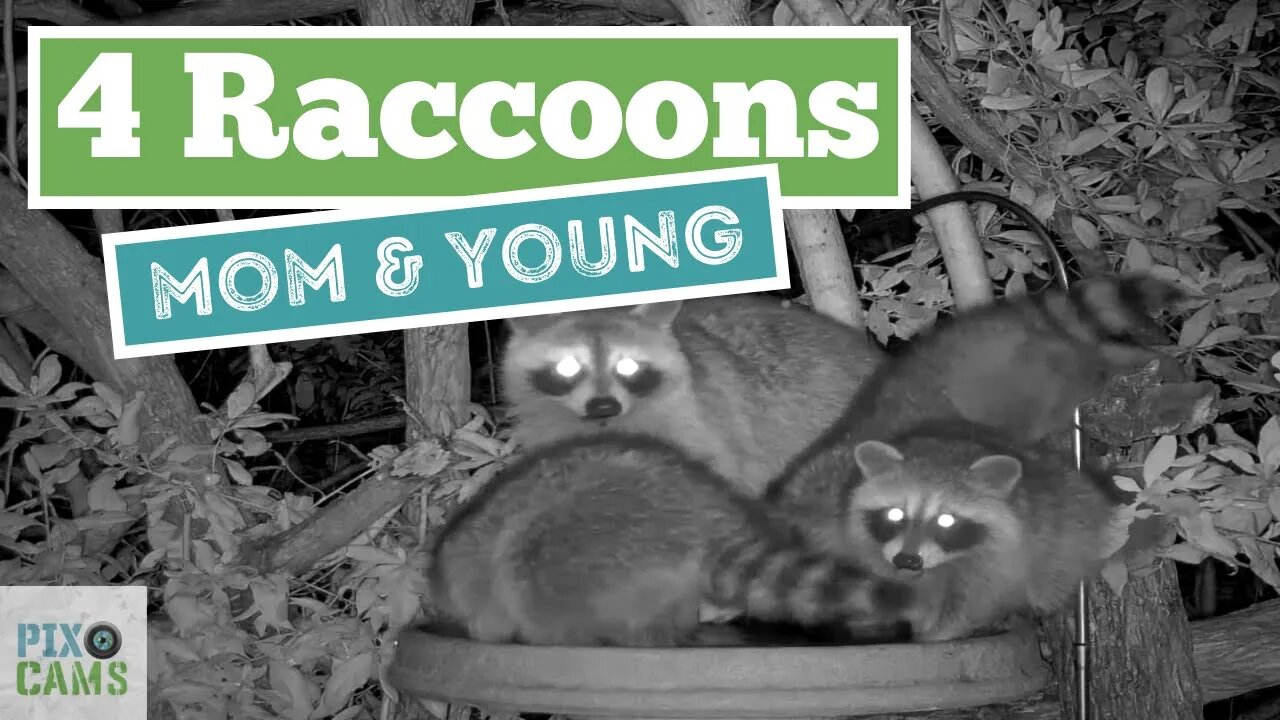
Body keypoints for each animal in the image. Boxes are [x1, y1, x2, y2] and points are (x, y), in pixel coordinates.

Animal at [844, 423, 1121, 642]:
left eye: (946, 520)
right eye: (895, 514)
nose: (907, 559)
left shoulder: (1004, 560)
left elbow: (972, 605)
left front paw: (937, 635)